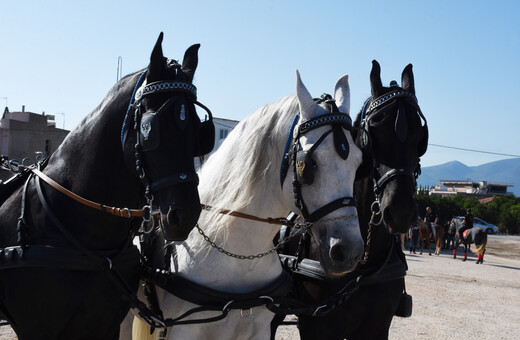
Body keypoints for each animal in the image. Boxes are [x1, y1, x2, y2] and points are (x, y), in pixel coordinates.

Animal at [132, 70, 364, 338]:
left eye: (359, 162)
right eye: (308, 164)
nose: (350, 251)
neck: (239, 256)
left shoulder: (260, 329)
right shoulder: (182, 331)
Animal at [274, 61, 428, 340]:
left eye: (421, 136)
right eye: (374, 131)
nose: (400, 210)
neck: (364, 267)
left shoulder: (377, 328)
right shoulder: (317, 328)